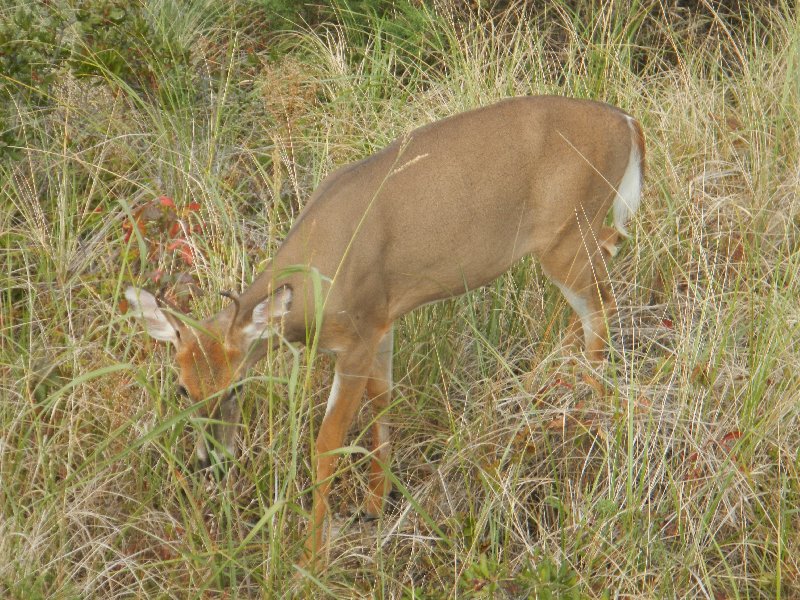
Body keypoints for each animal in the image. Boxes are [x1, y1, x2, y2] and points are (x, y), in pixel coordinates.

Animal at [126, 94, 648, 564]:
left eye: (238, 387)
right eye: (182, 388)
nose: (209, 461)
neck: (316, 283)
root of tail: (628, 122)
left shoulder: (355, 339)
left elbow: (328, 444)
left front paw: (311, 557)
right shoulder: (382, 322)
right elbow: (382, 405)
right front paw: (374, 505)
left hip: (566, 235)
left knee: (603, 305)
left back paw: (588, 413)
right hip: (579, 235)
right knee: (609, 265)